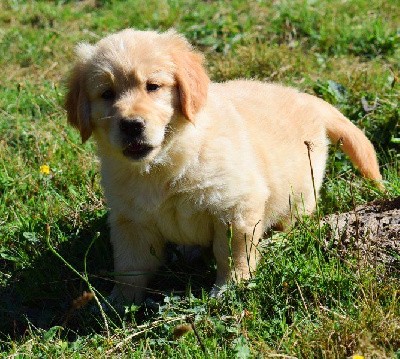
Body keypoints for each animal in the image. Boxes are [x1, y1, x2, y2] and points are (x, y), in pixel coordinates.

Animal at [65, 29, 382, 304]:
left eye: (153, 87)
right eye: (106, 93)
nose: (131, 125)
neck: (164, 164)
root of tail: (306, 99)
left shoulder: (235, 207)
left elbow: (232, 253)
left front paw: (231, 287)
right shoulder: (131, 221)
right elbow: (130, 266)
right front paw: (119, 302)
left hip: (301, 191)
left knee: (293, 222)